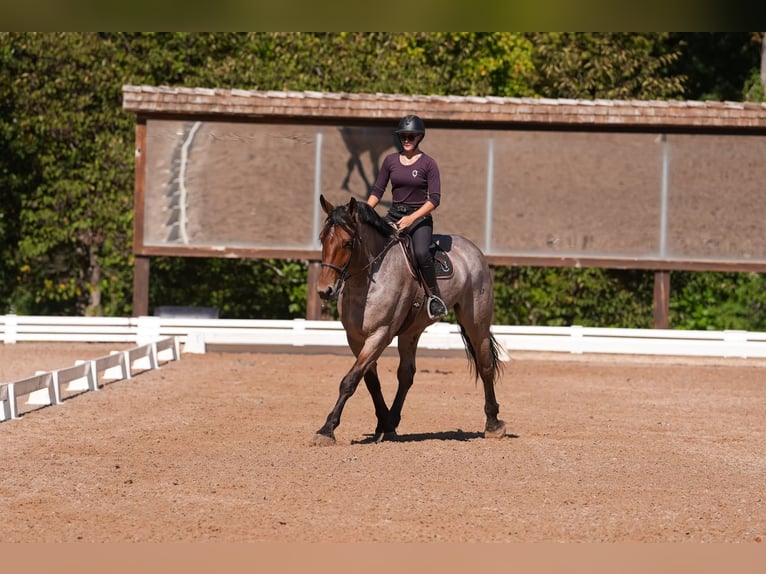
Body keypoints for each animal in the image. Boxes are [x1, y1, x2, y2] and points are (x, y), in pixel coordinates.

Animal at [311, 194, 507, 446]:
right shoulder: (355, 338)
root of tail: (473, 250)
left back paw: (493, 424)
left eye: (347, 243)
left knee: (485, 365)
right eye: (322, 238)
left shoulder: (380, 334)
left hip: (476, 322)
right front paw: (384, 424)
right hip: (411, 331)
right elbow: (370, 382)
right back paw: (392, 421)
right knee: (406, 374)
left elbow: (350, 380)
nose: (324, 290)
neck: (367, 282)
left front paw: (326, 429)